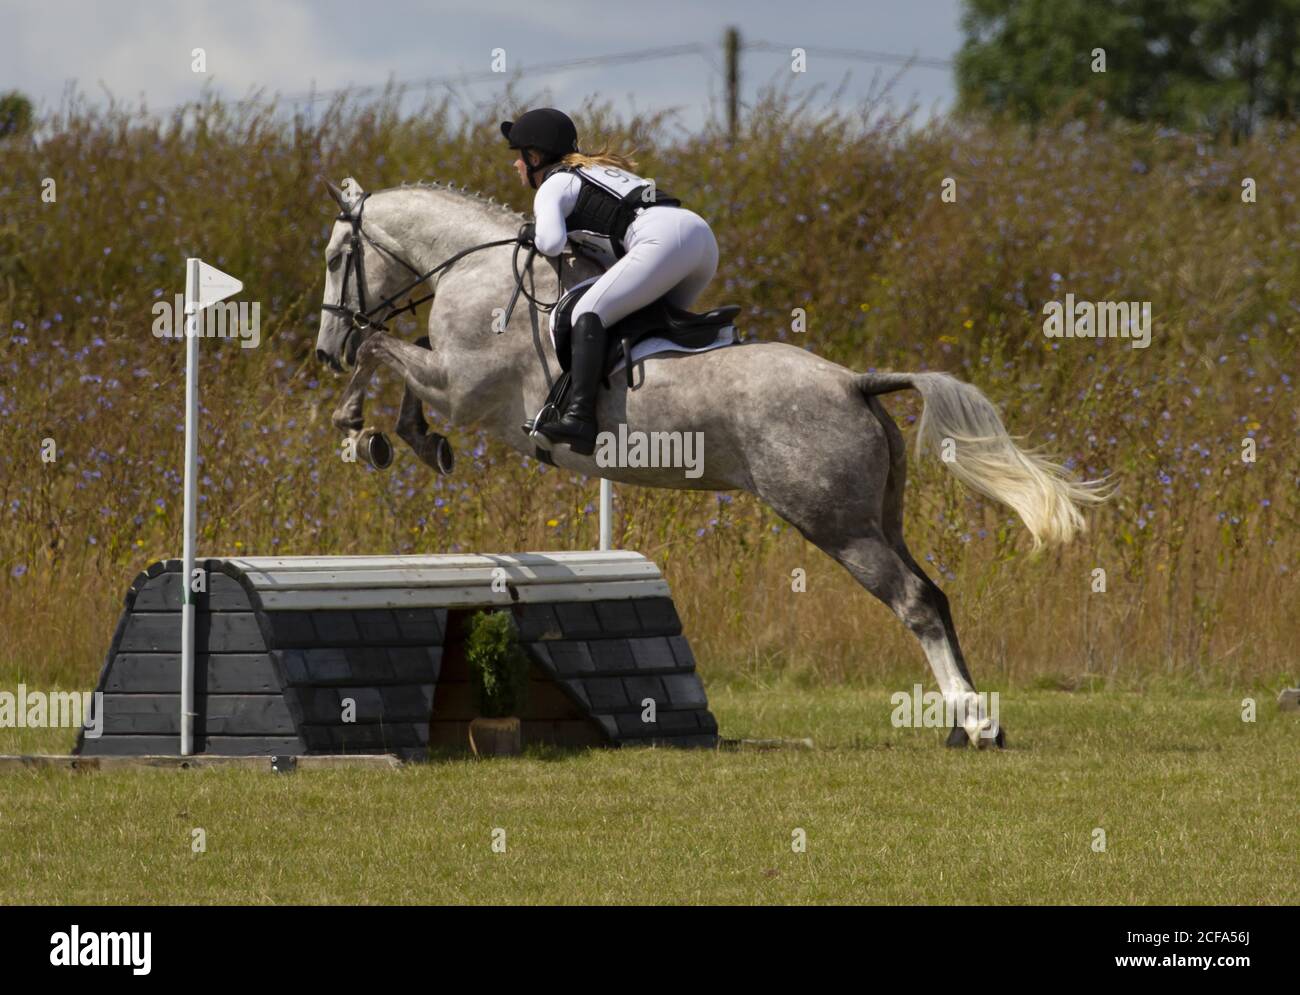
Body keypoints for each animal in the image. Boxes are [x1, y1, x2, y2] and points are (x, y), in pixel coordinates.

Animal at [312, 176, 1107, 743]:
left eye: (337, 259)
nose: (324, 348)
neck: (476, 270)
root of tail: (855, 380)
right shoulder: (449, 379)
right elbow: (398, 364)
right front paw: (407, 440)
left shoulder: (463, 385)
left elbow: (383, 350)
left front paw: (360, 427)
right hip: (878, 515)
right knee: (933, 594)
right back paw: (965, 720)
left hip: (834, 523)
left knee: (912, 601)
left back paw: (974, 723)